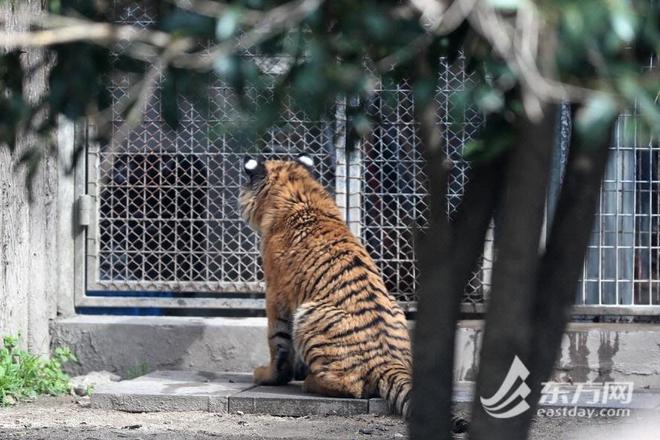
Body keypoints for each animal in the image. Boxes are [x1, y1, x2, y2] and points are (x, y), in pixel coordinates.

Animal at [239, 154, 413, 416]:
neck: (298, 193)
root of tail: (388, 360)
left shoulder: (275, 294)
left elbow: (277, 340)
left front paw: (268, 376)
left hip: (308, 314)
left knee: (351, 387)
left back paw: (310, 383)